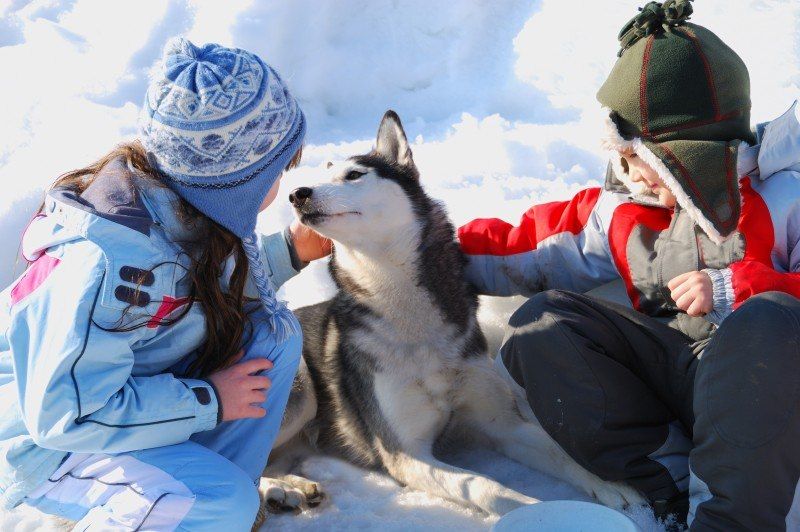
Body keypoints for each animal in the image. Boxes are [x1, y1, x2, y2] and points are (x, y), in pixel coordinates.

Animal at [260, 111, 648, 520]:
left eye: (354, 175)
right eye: (319, 177)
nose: (297, 194)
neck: (411, 319)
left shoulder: (502, 423)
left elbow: (562, 455)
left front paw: (611, 487)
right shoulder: (405, 453)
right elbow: (483, 485)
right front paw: (529, 508)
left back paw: (294, 486)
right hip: (301, 386)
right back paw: (276, 490)